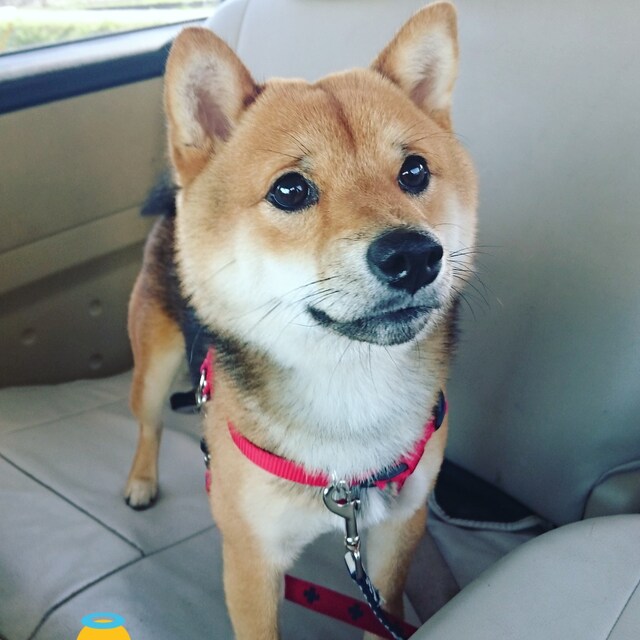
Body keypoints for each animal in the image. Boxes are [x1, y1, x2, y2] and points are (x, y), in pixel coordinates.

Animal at [124, 2, 477, 638]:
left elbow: (381, 612)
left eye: (415, 172)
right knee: (149, 422)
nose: (414, 255)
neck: (349, 394)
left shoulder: (396, 534)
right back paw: (142, 480)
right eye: (290, 189)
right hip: (154, 364)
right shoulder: (251, 559)